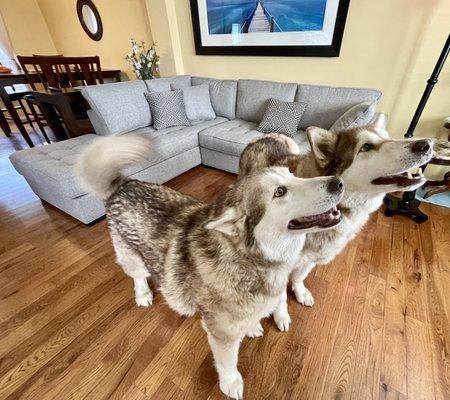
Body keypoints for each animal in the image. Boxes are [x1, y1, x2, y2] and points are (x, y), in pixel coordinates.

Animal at [78, 135, 344, 400]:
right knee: (137, 276)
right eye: (280, 192)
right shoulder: (221, 334)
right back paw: (143, 294)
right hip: (131, 255)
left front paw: (254, 326)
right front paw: (230, 383)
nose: (338, 182)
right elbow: (228, 362)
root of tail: (123, 186)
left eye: (292, 175)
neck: (250, 260)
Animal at [239, 113, 432, 332]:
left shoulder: (314, 257)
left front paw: (300, 292)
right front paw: (281, 315)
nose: (426, 144)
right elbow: (279, 298)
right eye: (366, 147)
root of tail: (266, 136)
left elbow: (299, 276)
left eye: (388, 137)